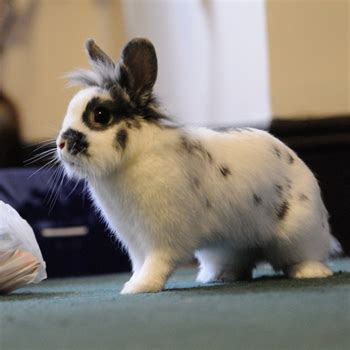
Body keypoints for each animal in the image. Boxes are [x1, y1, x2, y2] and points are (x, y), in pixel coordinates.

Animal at [56, 38, 338, 294]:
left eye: (101, 115)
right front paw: (133, 283)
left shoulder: (162, 239)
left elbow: (156, 264)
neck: (130, 161)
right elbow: (139, 264)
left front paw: (139, 287)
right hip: (224, 247)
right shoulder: (134, 241)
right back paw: (218, 277)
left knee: (307, 256)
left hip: (300, 233)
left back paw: (309, 272)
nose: (61, 144)